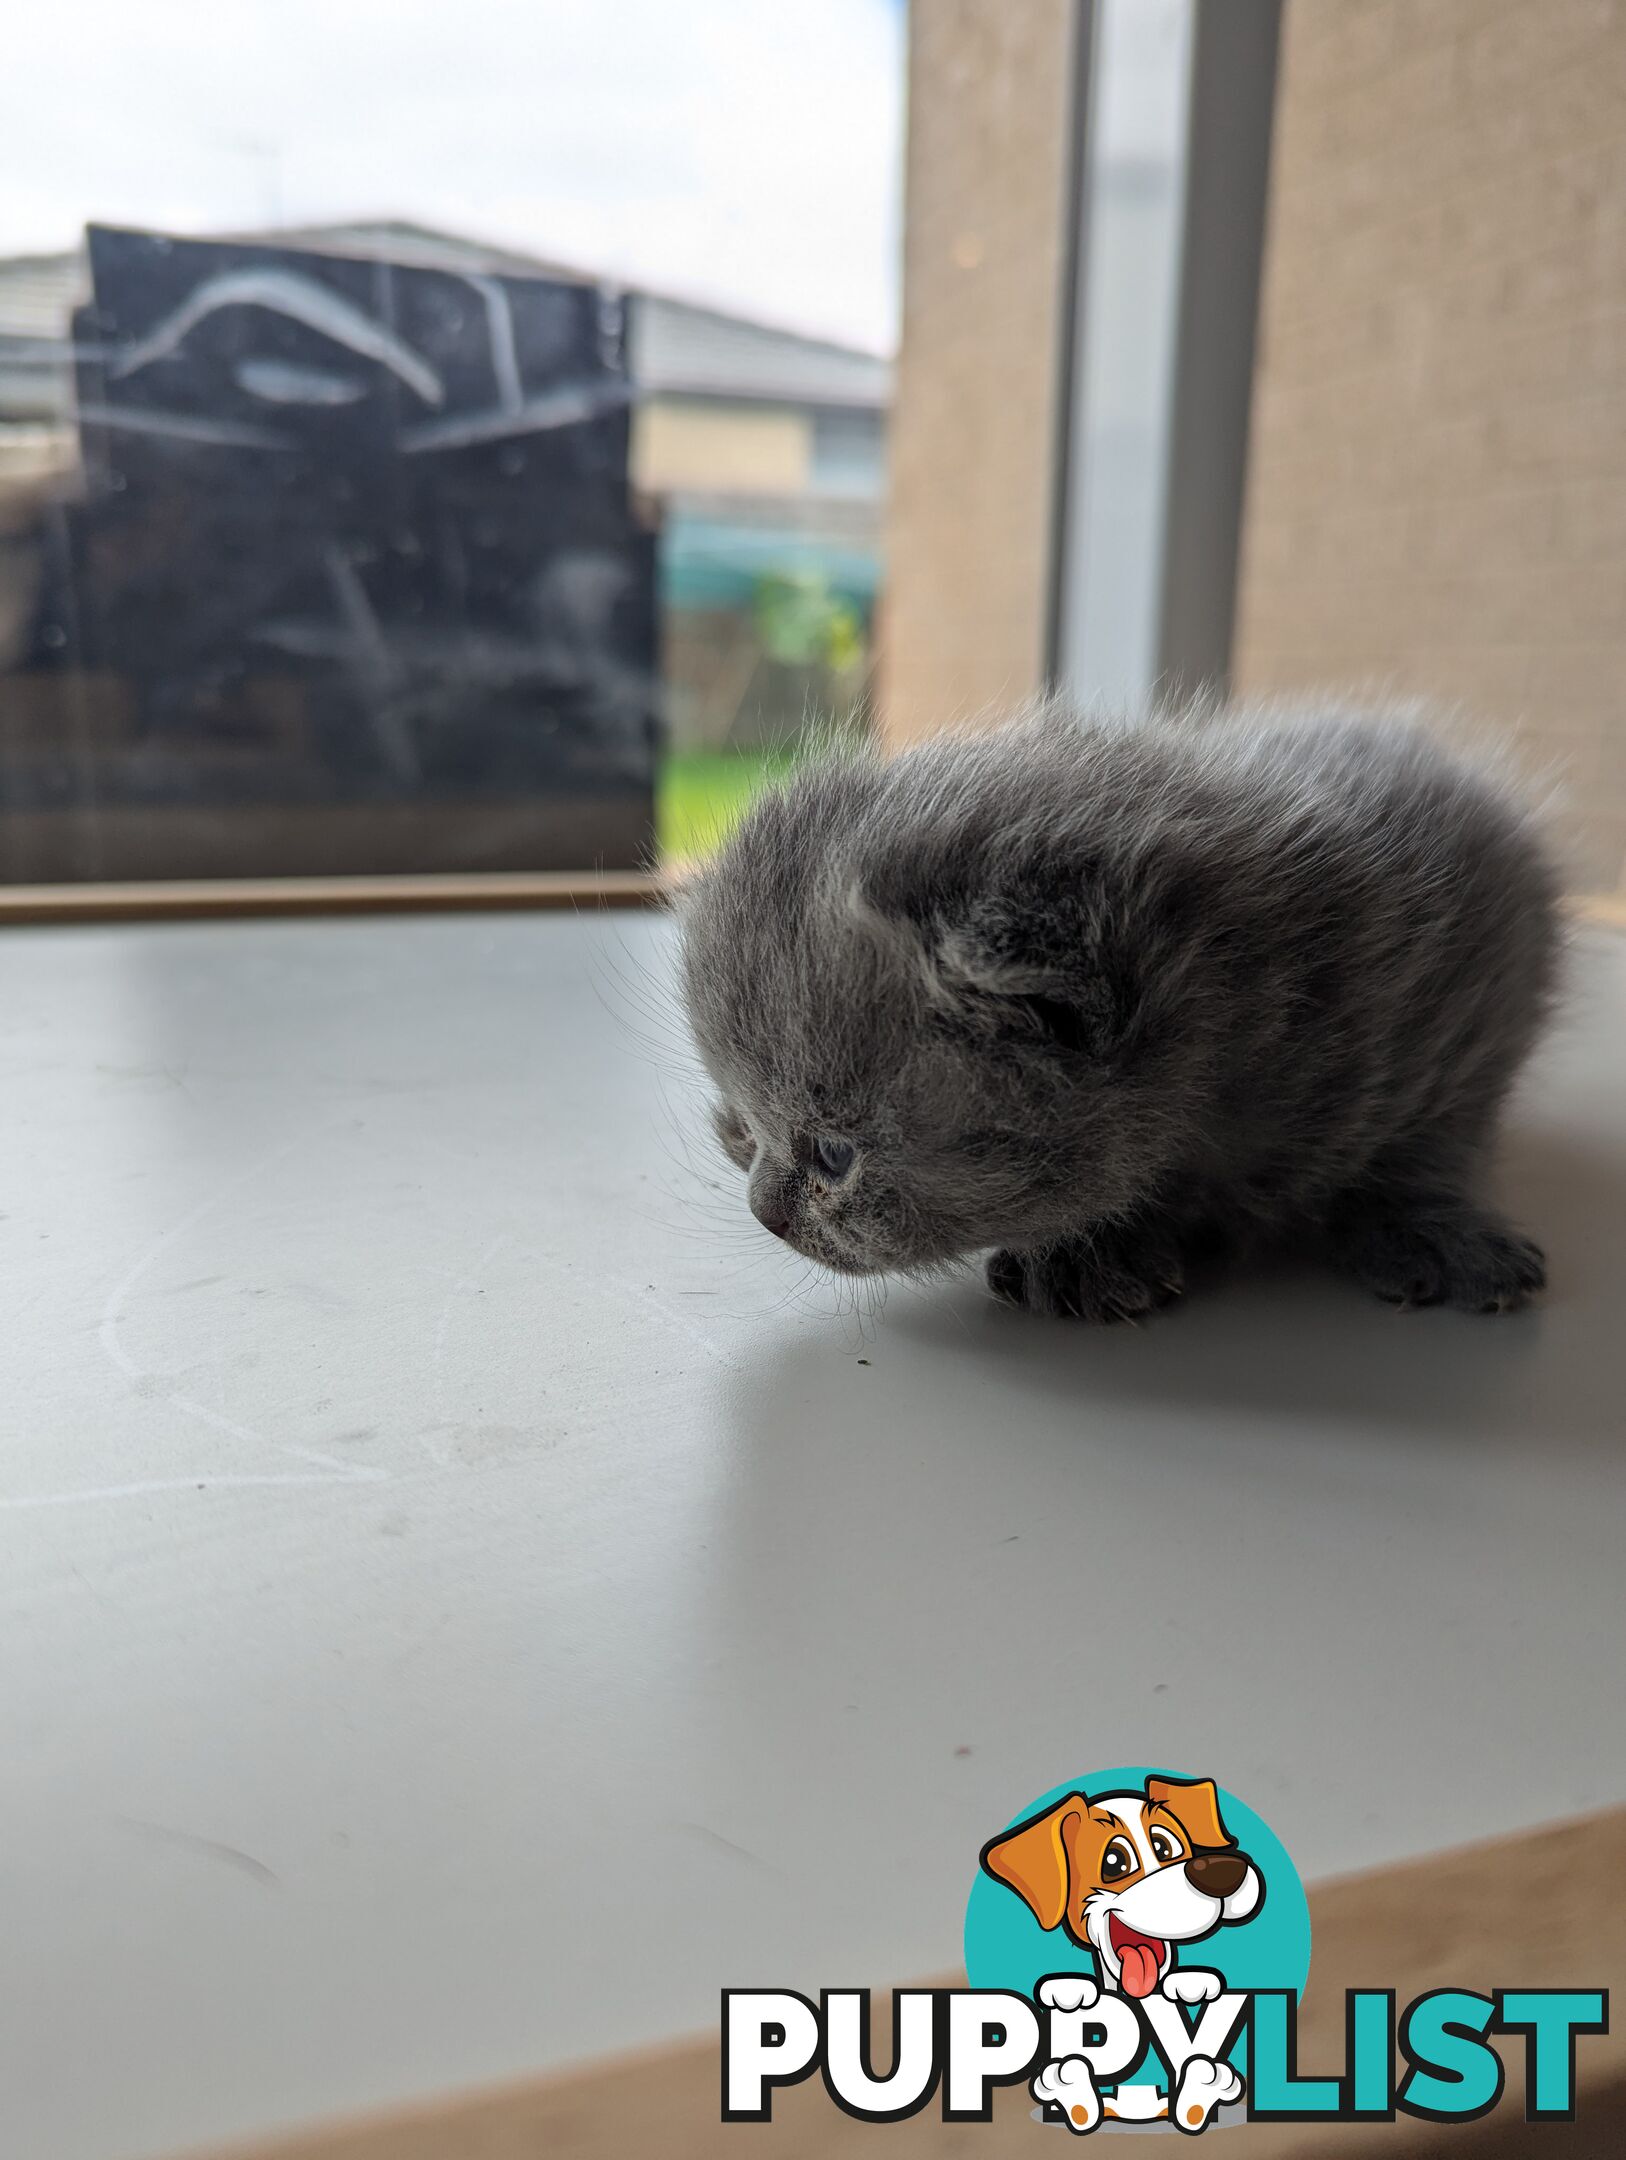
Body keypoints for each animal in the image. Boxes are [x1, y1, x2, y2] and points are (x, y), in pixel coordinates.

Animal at [673, 704, 1563, 1313]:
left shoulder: (1470, 1010)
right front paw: (1093, 1253)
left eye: (834, 1155)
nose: (764, 1214)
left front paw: (1432, 1229)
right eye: (757, 1123)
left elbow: (1426, 1151)